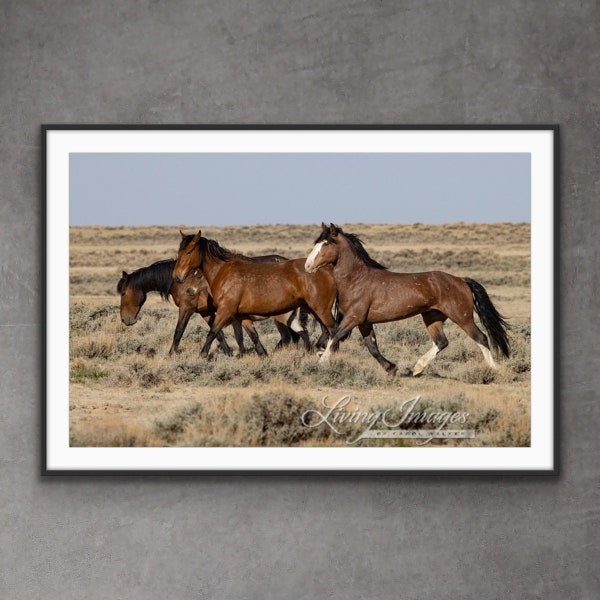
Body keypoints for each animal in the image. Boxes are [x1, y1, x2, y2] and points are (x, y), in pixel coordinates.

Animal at [117, 254, 304, 354]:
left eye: (123, 293)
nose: (125, 320)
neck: (182, 280)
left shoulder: (187, 309)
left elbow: (178, 331)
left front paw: (172, 353)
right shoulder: (205, 312)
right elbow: (217, 333)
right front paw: (229, 352)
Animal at [173, 231, 340, 358]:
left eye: (189, 252)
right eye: (179, 251)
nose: (177, 276)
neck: (225, 273)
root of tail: (328, 270)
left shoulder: (225, 311)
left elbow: (212, 333)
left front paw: (202, 356)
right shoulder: (241, 315)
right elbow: (253, 336)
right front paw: (263, 355)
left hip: (320, 309)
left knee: (332, 330)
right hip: (311, 310)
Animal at [304, 223, 510, 378]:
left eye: (326, 243)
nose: (307, 266)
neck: (356, 279)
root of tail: (461, 280)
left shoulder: (353, 318)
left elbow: (335, 336)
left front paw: (320, 363)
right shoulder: (364, 322)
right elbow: (372, 347)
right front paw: (391, 368)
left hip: (462, 316)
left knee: (481, 338)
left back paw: (495, 370)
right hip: (432, 317)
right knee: (442, 342)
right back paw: (417, 368)